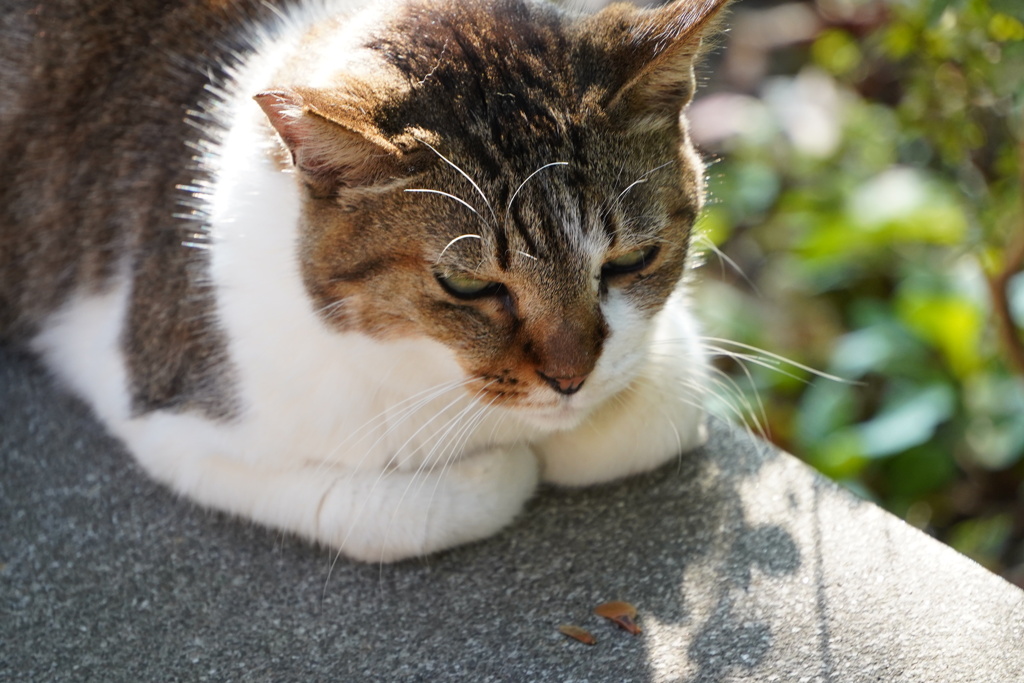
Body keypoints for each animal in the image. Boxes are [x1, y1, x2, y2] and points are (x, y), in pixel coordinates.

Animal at [4, 0, 733, 561]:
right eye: (466, 286)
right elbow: (404, 508)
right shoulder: (179, 420)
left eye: (631, 261)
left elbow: (659, 409)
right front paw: (507, 464)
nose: (570, 379)